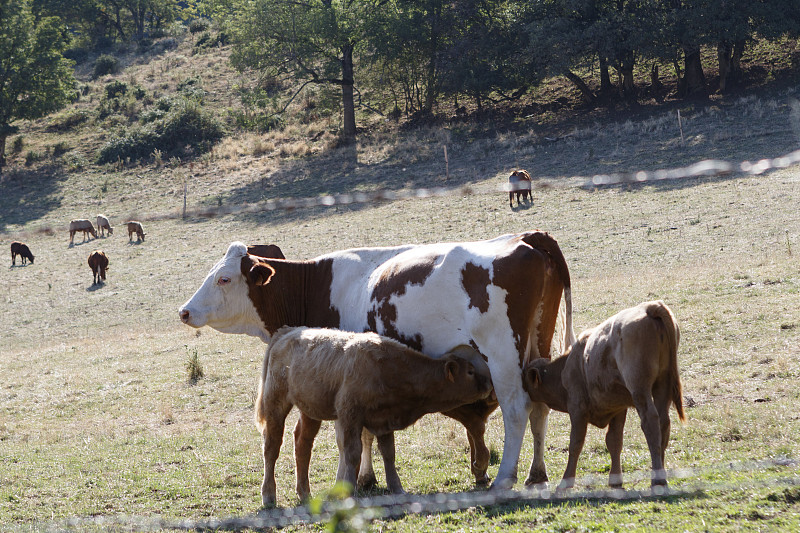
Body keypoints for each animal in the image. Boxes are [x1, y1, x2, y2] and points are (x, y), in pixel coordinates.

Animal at [180, 232, 576, 490]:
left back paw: (507, 475)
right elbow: (369, 432)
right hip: (537, 346)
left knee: (517, 408)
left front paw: (353, 480)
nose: (184, 311)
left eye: (224, 278)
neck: (318, 283)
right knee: (539, 405)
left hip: (504, 355)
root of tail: (527, 238)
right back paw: (536, 474)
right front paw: (368, 478)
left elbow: (350, 437)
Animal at [520, 302, 684, 488]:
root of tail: (650, 307)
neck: (568, 366)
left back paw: (658, 479)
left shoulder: (577, 409)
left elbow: (575, 443)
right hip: (663, 385)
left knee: (651, 422)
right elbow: (614, 440)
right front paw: (615, 479)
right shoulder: (619, 407)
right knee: (664, 423)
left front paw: (566, 482)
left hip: (640, 389)